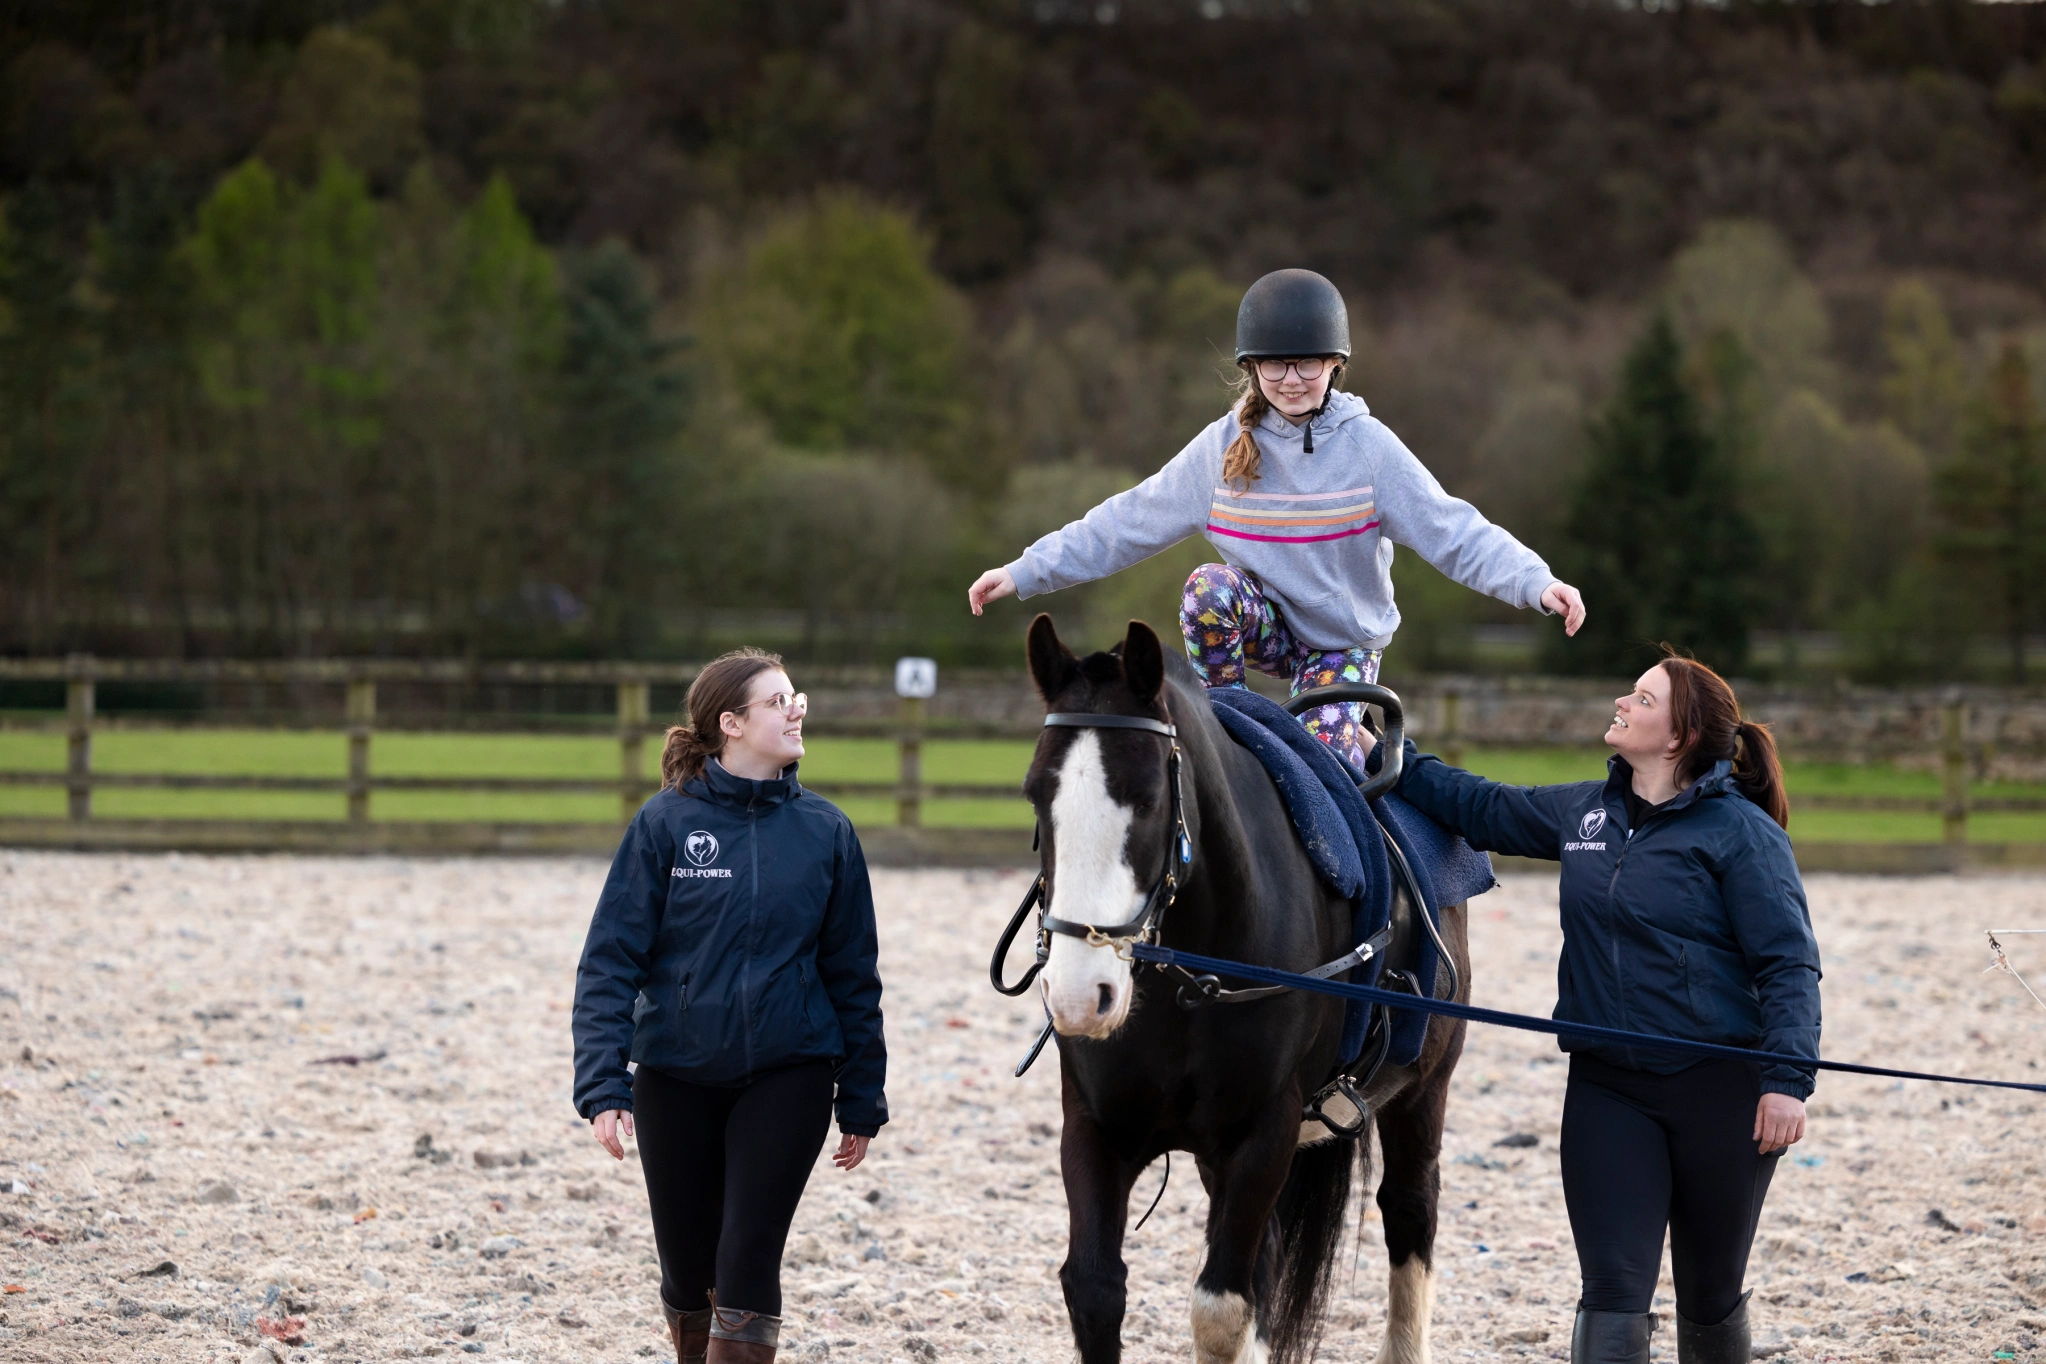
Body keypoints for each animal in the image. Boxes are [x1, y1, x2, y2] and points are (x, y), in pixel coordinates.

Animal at [1010, 617, 1473, 1364]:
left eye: (1148, 800)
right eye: (1034, 796)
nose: (1080, 995)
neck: (1184, 980)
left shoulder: (1263, 1135)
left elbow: (1221, 1310)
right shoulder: (1097, 1127)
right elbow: (1094, 1291)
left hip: (1421, 1091)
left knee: (1409, 1211)